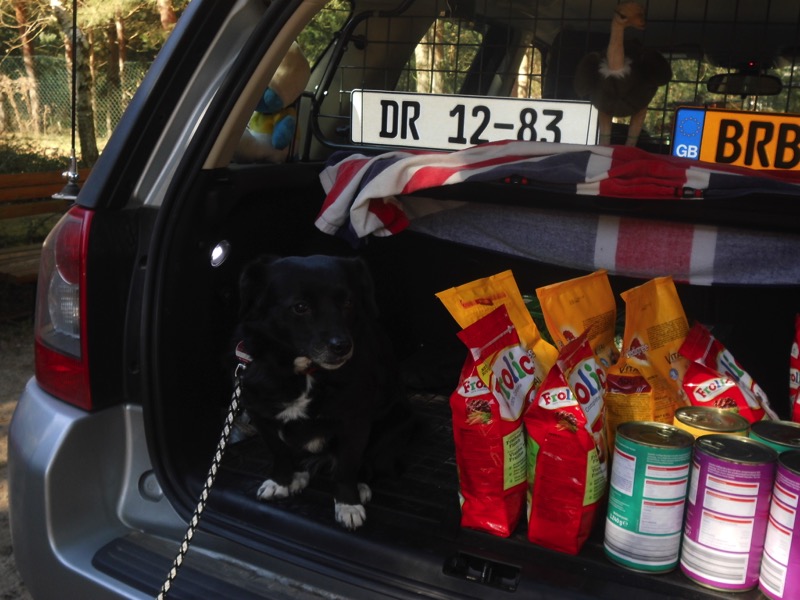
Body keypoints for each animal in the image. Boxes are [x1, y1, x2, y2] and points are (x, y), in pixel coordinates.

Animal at [234, 254, 409, 530]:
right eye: (300, 307)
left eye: (348, 302)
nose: (342, 346)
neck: (305, 371)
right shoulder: (260, 414)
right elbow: (279, 452)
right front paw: (281, 481)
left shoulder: (355, 422)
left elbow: (347, 466)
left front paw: (348, 503)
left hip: (393, 424)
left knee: (366, 463)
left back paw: (360, 484)